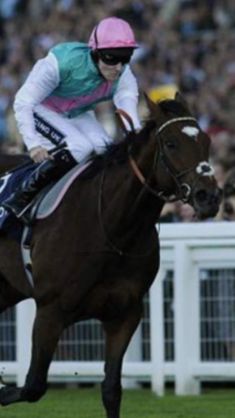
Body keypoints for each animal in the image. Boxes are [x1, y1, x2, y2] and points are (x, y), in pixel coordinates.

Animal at [0, 94, 220, 418]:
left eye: (206, 141)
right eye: (171, 144)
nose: (210, 197)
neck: (111, 227)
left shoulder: (124, 312)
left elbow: (111, 389)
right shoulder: (50, 310)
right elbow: (33, 385)